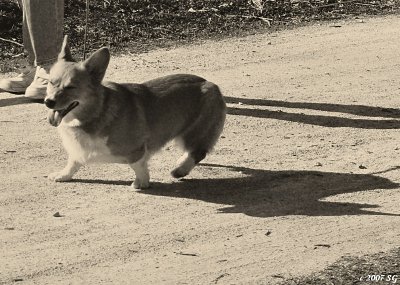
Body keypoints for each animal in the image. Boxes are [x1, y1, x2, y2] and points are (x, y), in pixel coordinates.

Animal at [45, 36, 227, 189]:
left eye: (70, 87)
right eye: (51, 83)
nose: (48, 102)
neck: (96, 112)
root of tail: (211, 84)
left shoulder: (136, 150)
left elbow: (138, 166)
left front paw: (141, 183)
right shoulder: (77, 153)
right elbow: (73, 163)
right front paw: (63, 175)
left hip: (192, 132)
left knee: (198, 151)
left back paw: (180, 170)